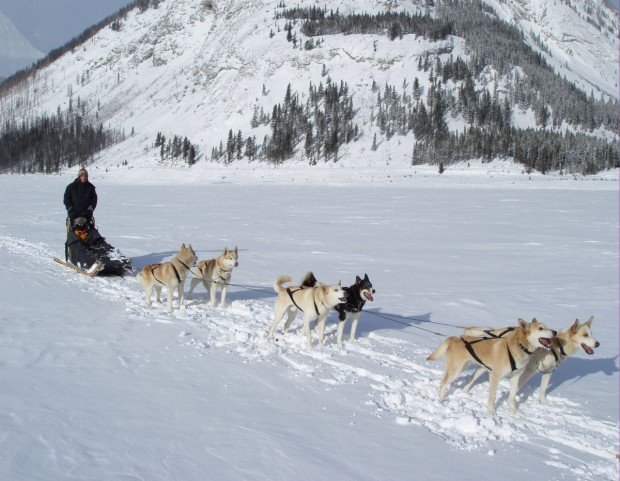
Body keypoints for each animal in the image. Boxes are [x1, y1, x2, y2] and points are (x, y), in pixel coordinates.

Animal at [426, 318, 556, 412]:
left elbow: (512, 395)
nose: (555, 332)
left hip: (467, 369)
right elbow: (492, 396)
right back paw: (441, 398)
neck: (519, 346)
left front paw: (513, 409)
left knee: (447, 379)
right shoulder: (495, 376)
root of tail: (455, 339)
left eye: (547, 326)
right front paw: (491, 411)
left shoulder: (515, 376)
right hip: (457, 370)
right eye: (540, 328)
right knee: (443, 382)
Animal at [462, 316, 600, 404]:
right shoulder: (529, 371)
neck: (557, 346)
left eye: (591, 333)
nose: (598, 343)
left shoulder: (548, 372)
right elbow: (517, 387)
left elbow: (543, 389)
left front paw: (543, 402)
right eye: (585, 335)